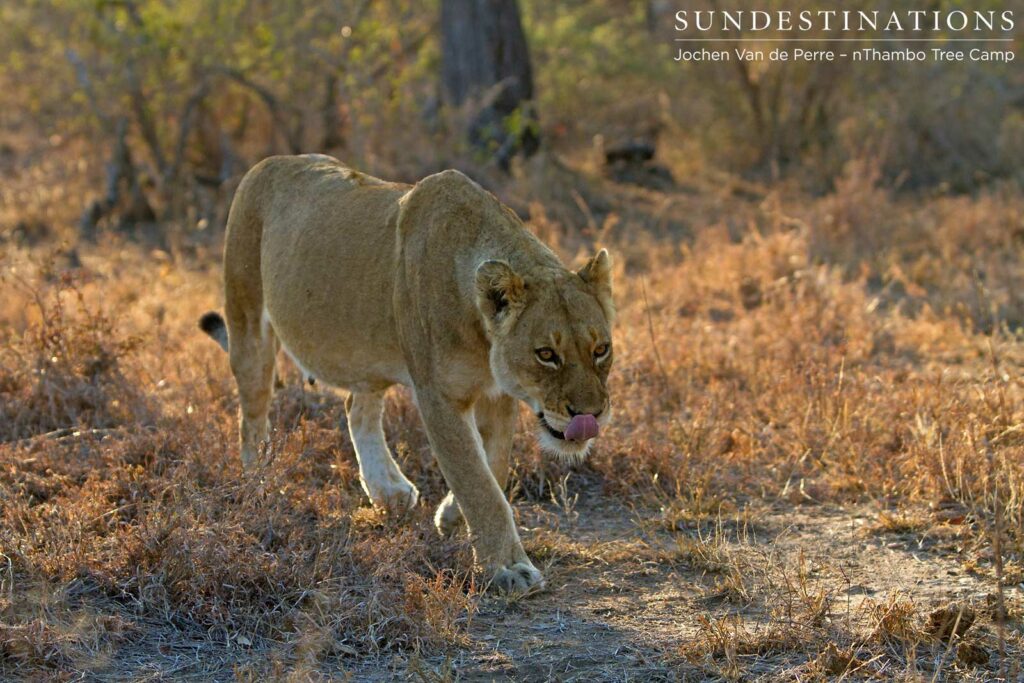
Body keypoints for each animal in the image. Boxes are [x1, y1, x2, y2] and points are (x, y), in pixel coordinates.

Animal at [199, 154, 614, 592]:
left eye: (601, 349)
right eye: (546, 354)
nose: (590, 414)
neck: (482, 335)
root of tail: (266, 163)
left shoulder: (497, 392)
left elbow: (495, 465)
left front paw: (452, 516)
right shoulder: (438, 396)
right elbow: (476, 479)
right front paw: (508, 568)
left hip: (361, 348)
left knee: (356, 406)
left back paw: (388, 491)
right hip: (247, 318)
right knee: (253, 413)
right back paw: (259, 485)